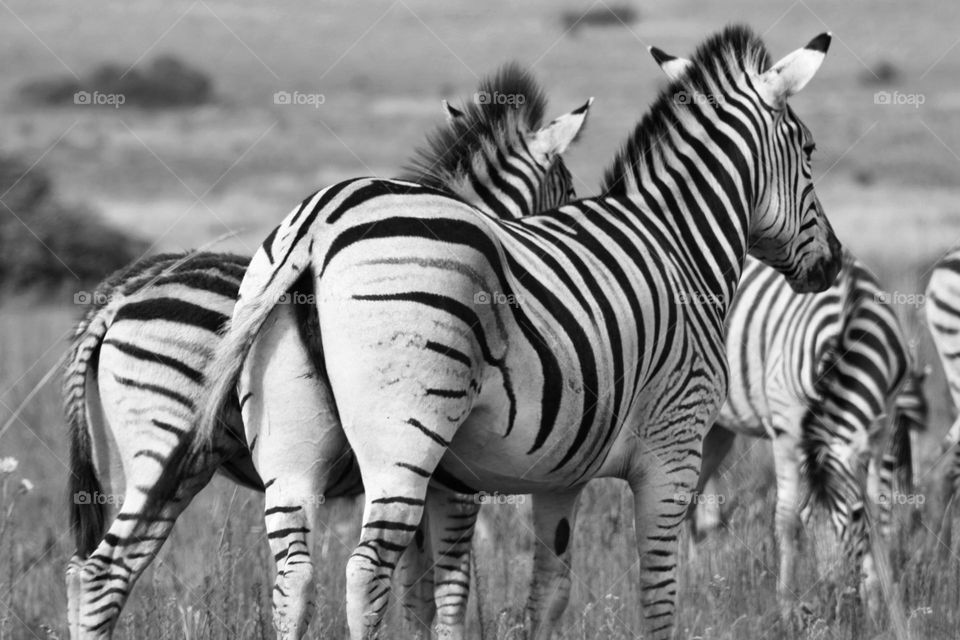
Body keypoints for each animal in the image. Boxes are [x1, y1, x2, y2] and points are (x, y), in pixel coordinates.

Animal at [63, 63, 588, 640]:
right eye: (570, 189)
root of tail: (118, 297)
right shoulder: (442, 472)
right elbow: (444, 587)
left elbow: (417, 590)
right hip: (166, 444)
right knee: (104, 572)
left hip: (129, 460)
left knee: (92, 573)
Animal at [193, 22, 840, 636]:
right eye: (809, 150)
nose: (833, 262)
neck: (680, 241)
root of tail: (319, 220)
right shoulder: (671, 451)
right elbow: (653, 598)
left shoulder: (558, 476)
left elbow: (543, 594)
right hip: (404, 439)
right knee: (366, 569)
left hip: (289, 447)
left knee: (294, 575)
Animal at [688, 250, 928, 620]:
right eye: (809, 519)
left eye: (855, 515)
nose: (834, 595)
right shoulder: (787, 429)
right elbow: (786, 519)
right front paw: (787, 610)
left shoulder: (882, 425)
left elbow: (880, 513)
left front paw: (879, 605)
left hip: (719, 430)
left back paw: (701, 591)